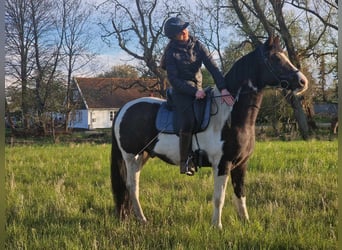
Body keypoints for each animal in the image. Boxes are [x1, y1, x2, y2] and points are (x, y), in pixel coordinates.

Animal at [111, 35, 308, 229]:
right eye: (275, 58)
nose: (302, 81)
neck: (229, 115)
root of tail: (124, 109)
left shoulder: (241, 164)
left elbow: (240, 193)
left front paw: (246, 222)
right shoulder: (222, 164)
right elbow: (219, 198)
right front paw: (217, 227)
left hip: (143, 156)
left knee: (134, 186)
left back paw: (136, 218)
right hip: (130, 156)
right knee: (131, 186)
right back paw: (142, 219)